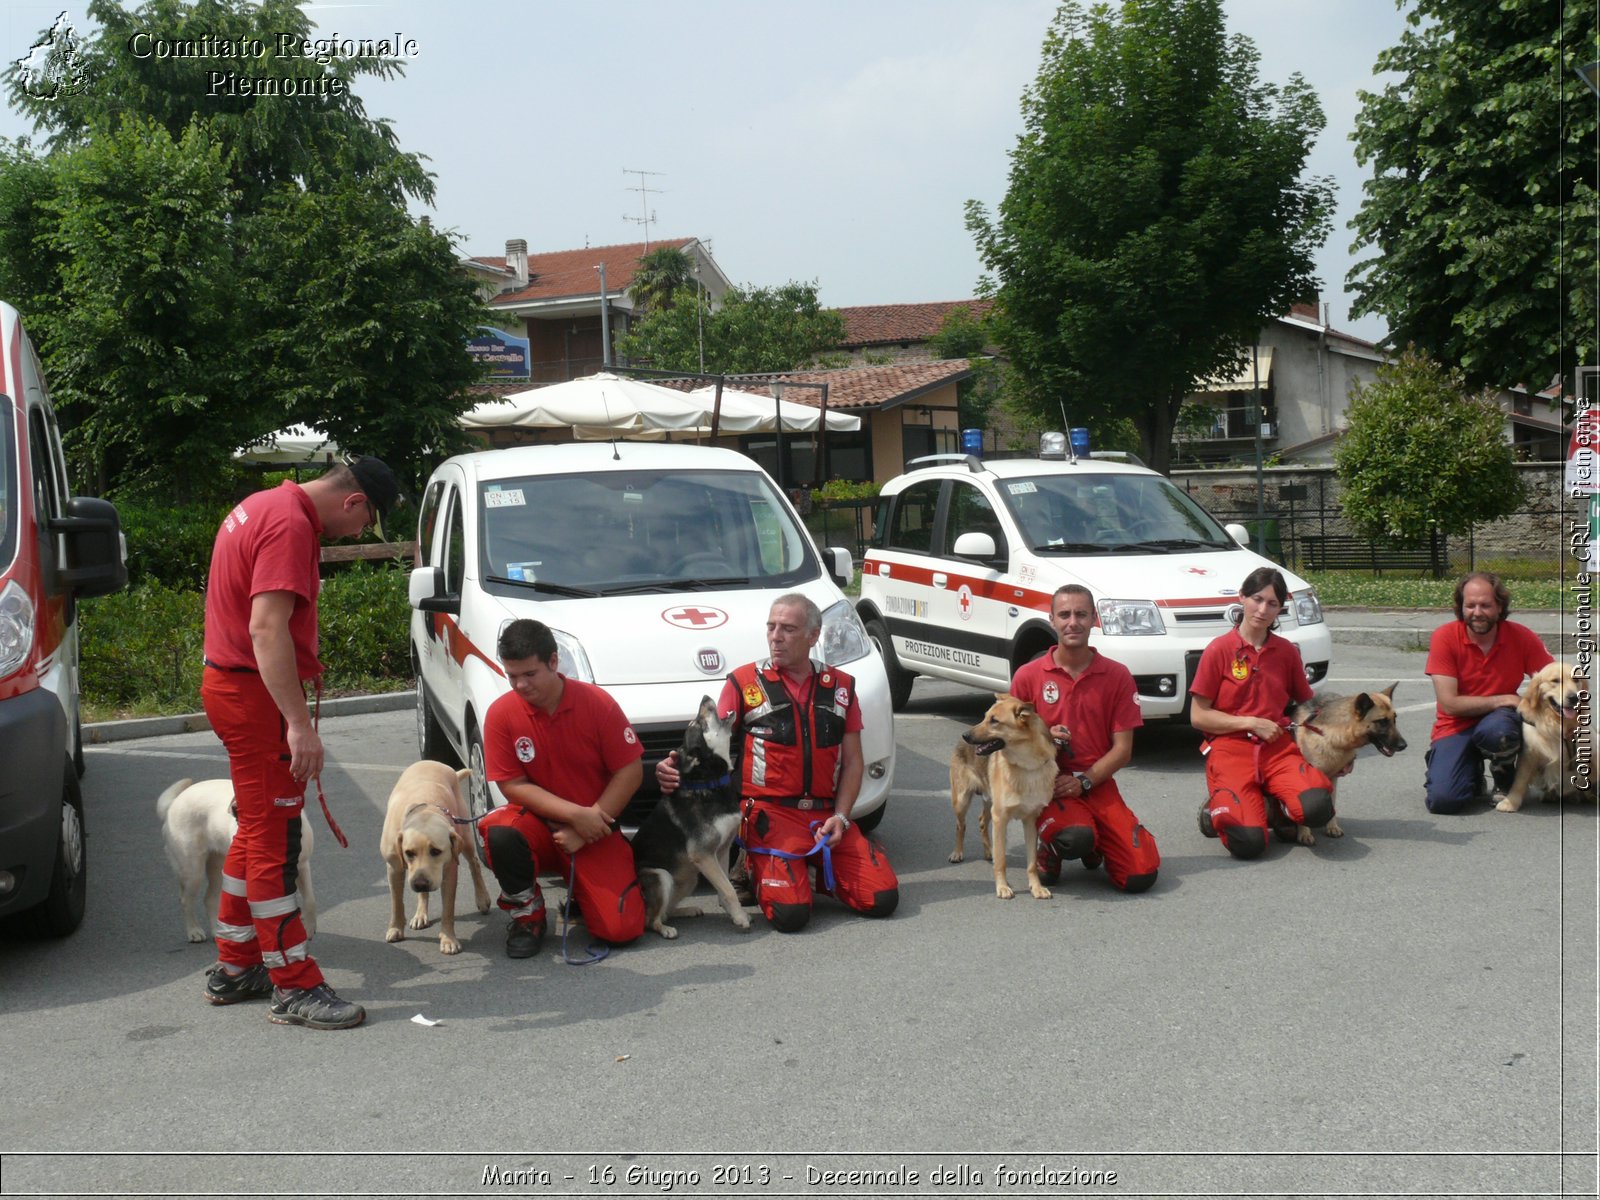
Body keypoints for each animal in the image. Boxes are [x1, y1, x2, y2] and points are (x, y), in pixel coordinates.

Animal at [156, 784, 315, 947]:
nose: (233, 808)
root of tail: (174, 802)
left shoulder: (302, 866)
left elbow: (310, 900)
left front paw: (307, 930)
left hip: (218, 869)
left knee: (209, 899)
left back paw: (218, 933)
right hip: (193, 871)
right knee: (185, 900)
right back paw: (194, 931)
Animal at [382, 761, 492, 960]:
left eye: (436, 851)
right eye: (409, 853)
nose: (420, 883)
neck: (423, 809)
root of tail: (431, 762)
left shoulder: (449, 871)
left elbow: (448, 909)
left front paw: (448, 939)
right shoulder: (394, 868)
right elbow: (396, 902)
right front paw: (395, 928)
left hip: (466, 838)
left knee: (474, 863)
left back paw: (482, 898)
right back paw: (420, 914)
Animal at [947, 694, 1062, 902]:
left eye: (994, 721)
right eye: (985, 716)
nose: (966, 736)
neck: (1027, 766)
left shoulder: (1030, 821)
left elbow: (1031, 863)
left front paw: (1036, 888)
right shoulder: (1001, 818)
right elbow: (1001, 861)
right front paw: (1002, 887)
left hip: (989, 801)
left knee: (982, 821)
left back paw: (988, 851)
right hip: (961, 801)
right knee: (961, 825)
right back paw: (958, 852)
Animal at [1286, 684, 1414, 844]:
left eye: (1394, 719)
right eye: (1382, 722)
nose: (1404, 745)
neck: (1330, 734)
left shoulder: (1333, 778)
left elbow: (1333, 802)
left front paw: (1332, 827)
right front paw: (1304, 833)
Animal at [1497, 662, 1587, 812]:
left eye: (1576, 680)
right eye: (1555, 681)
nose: (1574, 697)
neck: (1554, 724)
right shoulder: (1529, 753)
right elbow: (1520, 780)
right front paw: (1510, 802)